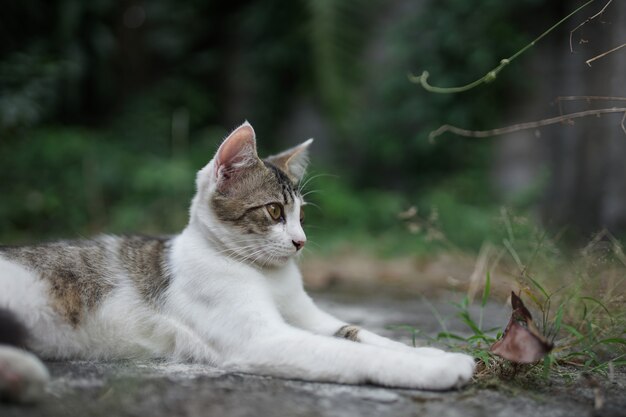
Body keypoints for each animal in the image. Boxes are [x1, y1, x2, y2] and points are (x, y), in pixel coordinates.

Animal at [0, 121, 476, 400]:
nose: (301, 242)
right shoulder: (261, 339)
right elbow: (348, 353)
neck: (266, 274)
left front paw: (430, 350)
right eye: (274, 211)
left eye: (302, 215)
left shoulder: (311, 317)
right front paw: (440, 367)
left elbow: (358, 333)